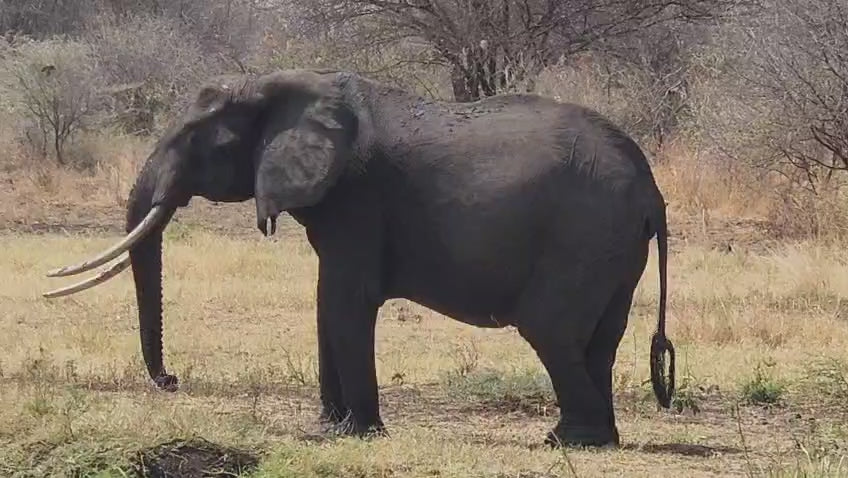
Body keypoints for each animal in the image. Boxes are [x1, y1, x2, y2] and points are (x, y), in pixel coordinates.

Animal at [43, 68, 675, 448]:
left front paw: (355, 434)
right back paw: (591, 438)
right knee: (597, 339)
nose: (171, 381)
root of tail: (651, 189)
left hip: (585, 234)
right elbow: (327, 302)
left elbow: (344, 300)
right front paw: (331, 425)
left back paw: (567, 441)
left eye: (201, 140)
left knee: (548, 329)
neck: (282, 86)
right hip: (613, 247)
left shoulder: (357, 197)